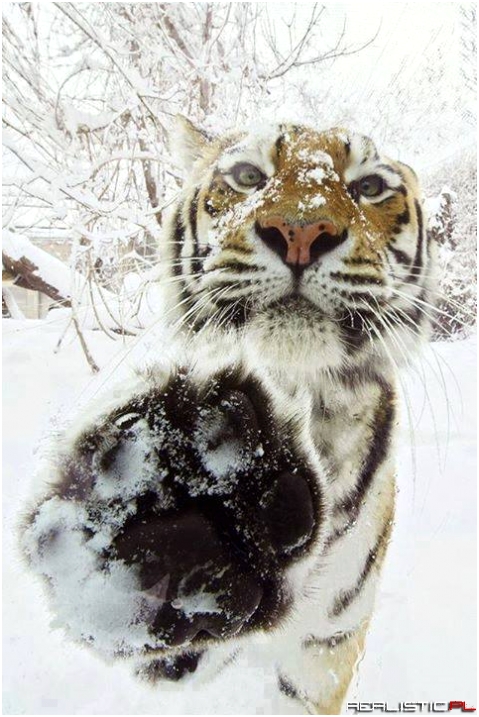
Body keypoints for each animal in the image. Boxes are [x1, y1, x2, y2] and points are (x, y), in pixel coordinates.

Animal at [20, 119, 436, 715]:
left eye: (371, 187)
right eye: (247, 176)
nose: (301, 231)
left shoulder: (325, 646)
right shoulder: (185, 656)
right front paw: (184, 494)